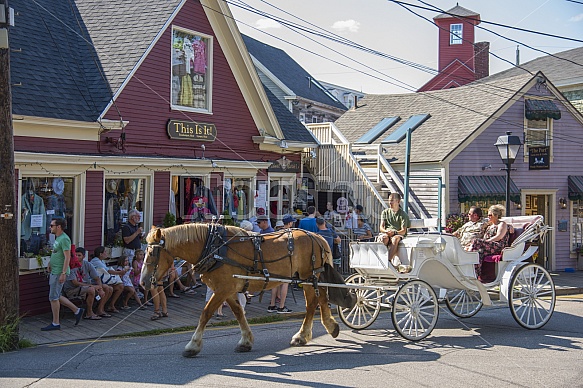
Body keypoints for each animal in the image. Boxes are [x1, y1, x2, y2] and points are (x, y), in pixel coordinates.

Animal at [141, 221, 340, 358]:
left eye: (151, 253)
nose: (143, 282)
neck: (214, 248)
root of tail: (317, 237)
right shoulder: (227, 289)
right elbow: (238, 312)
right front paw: (246, 341)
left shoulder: (223, 288)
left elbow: (206, 314)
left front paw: (193, 345)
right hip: (309, 278)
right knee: (319, 300)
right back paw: (325, 327)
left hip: (308, 278)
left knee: (313, 303)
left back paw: (305, 334)